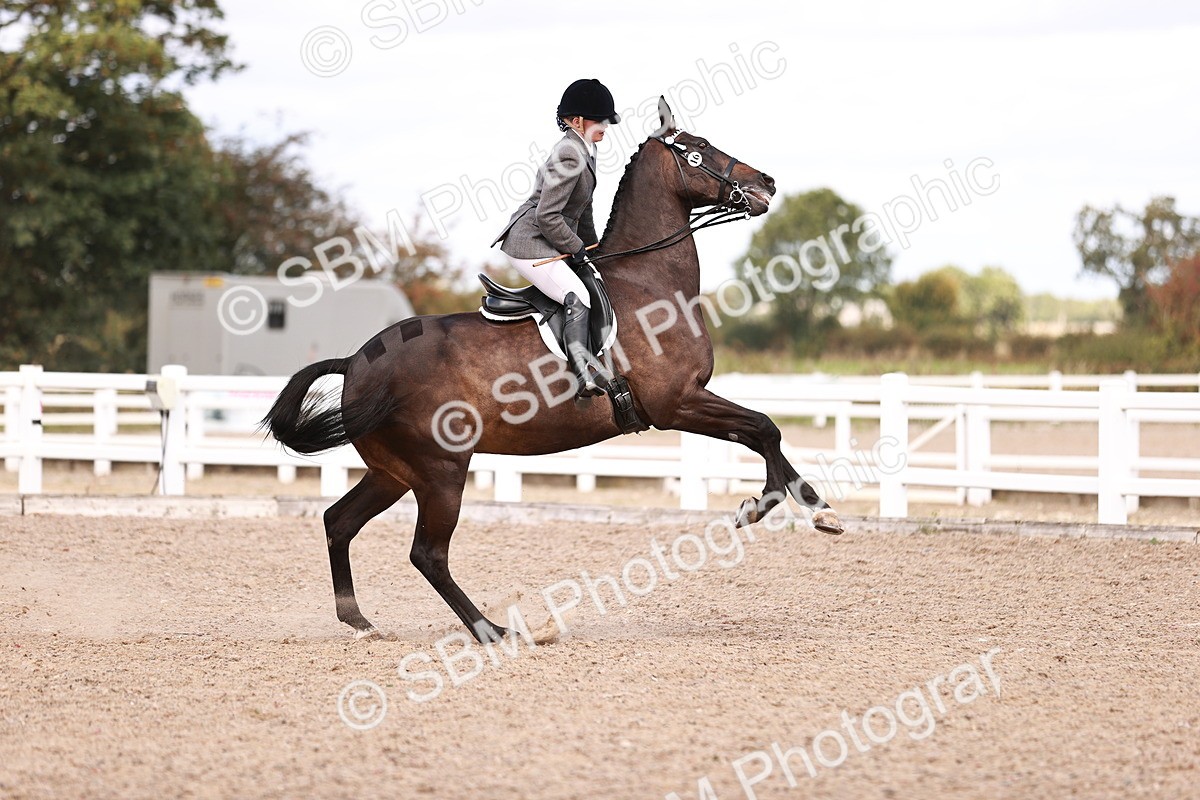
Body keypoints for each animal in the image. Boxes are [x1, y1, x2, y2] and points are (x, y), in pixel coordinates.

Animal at [262, 98, 843, 642]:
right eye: (698, 149)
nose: (766, 183)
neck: (650, 281)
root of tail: (357, 362)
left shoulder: (687, 400)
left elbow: (763, 431)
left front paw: (798, 508)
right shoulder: (676, 402)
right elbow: (764, 427)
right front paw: (786, 508)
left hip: (394, 472)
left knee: (339, 521)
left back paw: (359, 619)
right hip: (441, 470)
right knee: (427, 553)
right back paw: (493, 631)